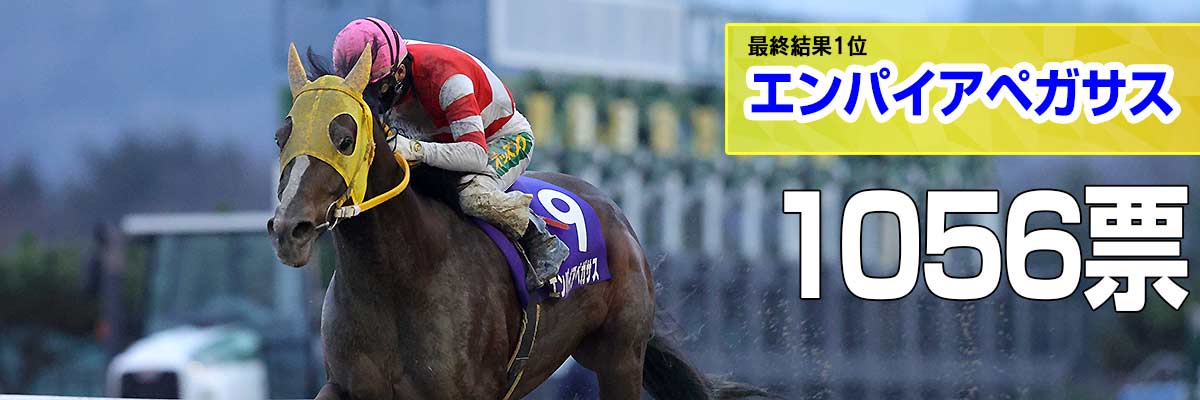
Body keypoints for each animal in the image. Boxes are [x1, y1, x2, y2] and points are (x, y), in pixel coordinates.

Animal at [268, 43, 772, 399]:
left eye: (344, 137)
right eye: (281, 136)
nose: (289, 230)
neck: (399, 279)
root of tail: (615, 214)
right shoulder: (345, 386)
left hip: (620, 357)